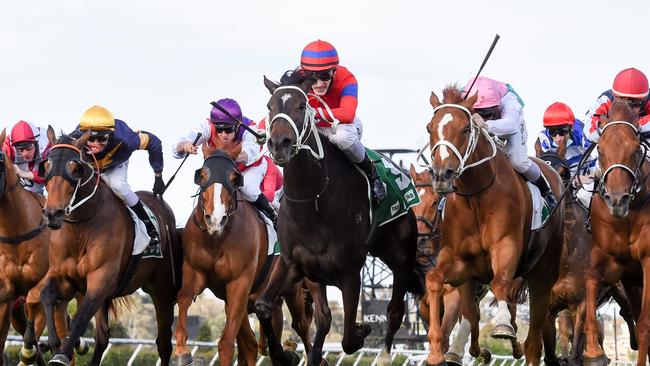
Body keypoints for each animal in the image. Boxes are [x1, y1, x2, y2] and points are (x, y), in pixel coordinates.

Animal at [34, 134, 184, 366]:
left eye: (74, 168)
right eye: (46, 165)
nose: (52, 214)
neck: (82, 228)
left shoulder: (100, 281)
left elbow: (79, 320)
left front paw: (61, 355)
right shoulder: (64, 277)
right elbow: (47, 295)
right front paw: (52, 343)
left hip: (162, 289)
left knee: (164, 343)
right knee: (103, 336)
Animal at [175, 149, 312, 366]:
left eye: (233, 178)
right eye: (202, 175)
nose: (215, 219)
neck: (217, 238)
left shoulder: (239, 283)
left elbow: (226, 343)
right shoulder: (196, 272)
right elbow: (184, 296)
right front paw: (181, 351)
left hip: (292, 292)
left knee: (302, 326)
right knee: (257, 339)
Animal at [253, 72, 420, 366]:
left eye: (302, 106)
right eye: (270, 106)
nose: (279, 144)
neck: (313, 202)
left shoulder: (351, 271)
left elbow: (349, 339)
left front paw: (362, 328)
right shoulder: (294, 264)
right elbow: (265, 306)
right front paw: (285, 355)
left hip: (401, 257)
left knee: (394, 310)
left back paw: (385, 355)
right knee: (322, 318)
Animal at [426, 85, 560, 364]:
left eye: (465, 129)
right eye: (429, 128)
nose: (442, 175)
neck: (476, 196)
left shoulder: (505, 245)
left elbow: (500, 282)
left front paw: (502, 326)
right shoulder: (460, 261)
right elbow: (434, 280)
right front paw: (435, 350)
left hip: (543, 272)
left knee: (534, 341)